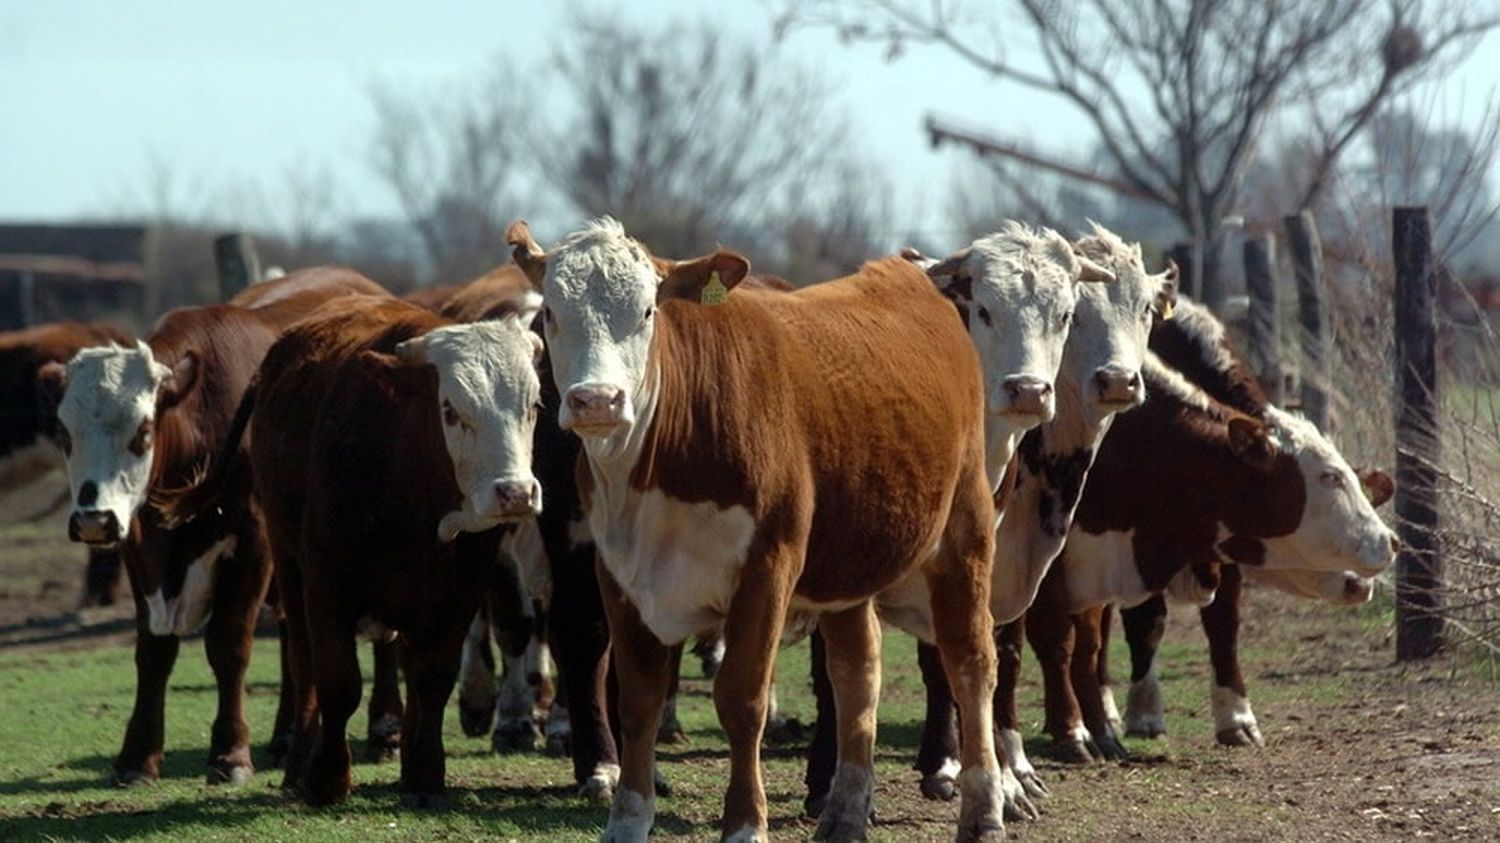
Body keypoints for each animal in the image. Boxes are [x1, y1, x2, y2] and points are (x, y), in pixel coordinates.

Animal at [40, 267, 384, 780]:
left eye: (143, 431)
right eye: (65, 433)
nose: (93, 520)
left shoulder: (253, 542)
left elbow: (228, 644)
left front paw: (230, 751)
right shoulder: (140, 547)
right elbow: (154, 649)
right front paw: (138, 755)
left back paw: (386, 732)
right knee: (294, 632)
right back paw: (287, 736)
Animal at [507, 217, 1008, 840]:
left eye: (647, 311)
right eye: (551, 311)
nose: (596, 400)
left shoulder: (767, 568)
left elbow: (743, 699)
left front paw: (746, 822)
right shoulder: (618, 572)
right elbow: (639, 699)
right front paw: (626, 819)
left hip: (965, 533)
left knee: (970, 660)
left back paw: (984, 809)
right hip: (848, 563)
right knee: (857, 673)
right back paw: (845, 811)